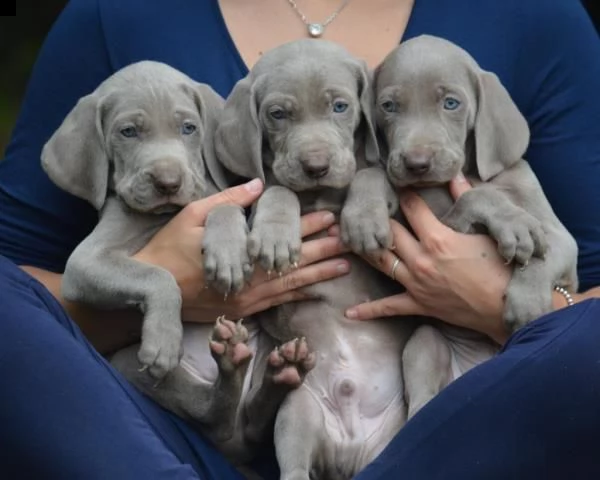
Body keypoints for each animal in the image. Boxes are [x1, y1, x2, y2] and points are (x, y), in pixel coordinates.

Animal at [41, 61, 284, 462]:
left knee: (256, 418)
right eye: (128, 132)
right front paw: (164, 338)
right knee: (215, 418)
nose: (168, 182)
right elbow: (157, 276)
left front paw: (228, 254)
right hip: (129, 364)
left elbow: (224, 206)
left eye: (188, 128)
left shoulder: (228, 200)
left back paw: (282, 370)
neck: (166, 214)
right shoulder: (83, 264)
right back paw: (235, 364)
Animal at [204, 38, 414, 480]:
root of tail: (349, 450)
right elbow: (275, 190)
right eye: (277, 115)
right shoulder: (267, 187)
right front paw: (273, 235)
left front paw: (363, 218)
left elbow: (371, 173)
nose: (316, 166)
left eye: (340, 106)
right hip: (298, 414)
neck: (319, 195)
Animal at [342, 35, 580, 418]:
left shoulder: (563, 242)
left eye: (451, 103)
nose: (417, 163)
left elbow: (486, 203)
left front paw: (526, 299)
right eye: (389, 106)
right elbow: (375, 173)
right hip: (425, 341)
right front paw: (363, 216)